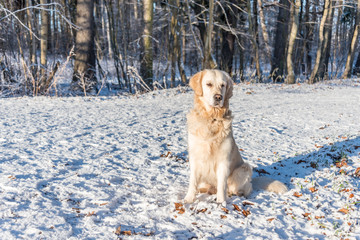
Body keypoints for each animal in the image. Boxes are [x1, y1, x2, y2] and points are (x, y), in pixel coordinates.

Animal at [184, 69, 288, 204]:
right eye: (209, 84)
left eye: (222, 85)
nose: (218, 97)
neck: (212, 119)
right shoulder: (195, 157)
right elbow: (193, 181)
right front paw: (188, 199)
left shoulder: (224, 160)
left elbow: (222, 185)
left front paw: (221, 202)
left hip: (244, 168)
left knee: (239, 189)